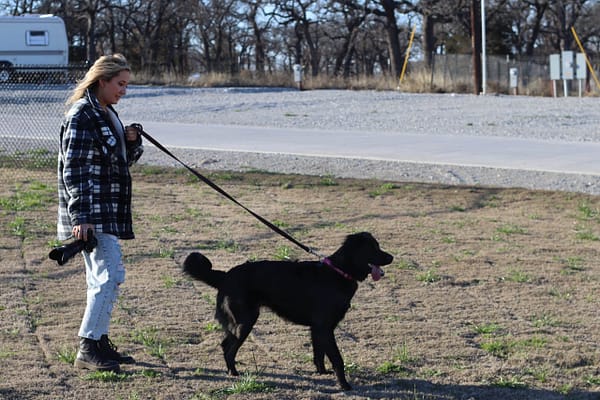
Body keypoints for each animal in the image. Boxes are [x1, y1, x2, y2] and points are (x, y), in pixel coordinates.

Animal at [183, 231, 394, 390]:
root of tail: (225, 276)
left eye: (378, 246)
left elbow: (319, 354)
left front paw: (322, 373)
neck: (338, 272)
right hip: (245, 322)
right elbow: (337, 359)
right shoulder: (325, 327)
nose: (391, 257)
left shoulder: (318, 329)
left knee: (225, 344)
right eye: (373, 248)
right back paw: (234, 373)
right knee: (228, 347)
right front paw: (344, 385)